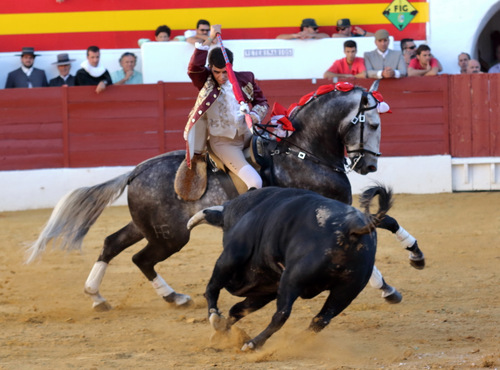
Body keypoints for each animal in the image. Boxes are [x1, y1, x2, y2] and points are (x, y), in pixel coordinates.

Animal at [188, 185, 394, 350]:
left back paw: (253, 344)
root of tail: (352, 226)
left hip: (292, 279)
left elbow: (212, 288)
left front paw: (215, 319)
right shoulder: (267, 288)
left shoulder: (232, 256)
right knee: (321, 319)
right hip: (346, 291)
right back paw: (296, 342)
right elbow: (237, 309)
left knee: (282, 314)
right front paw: (221, 332)